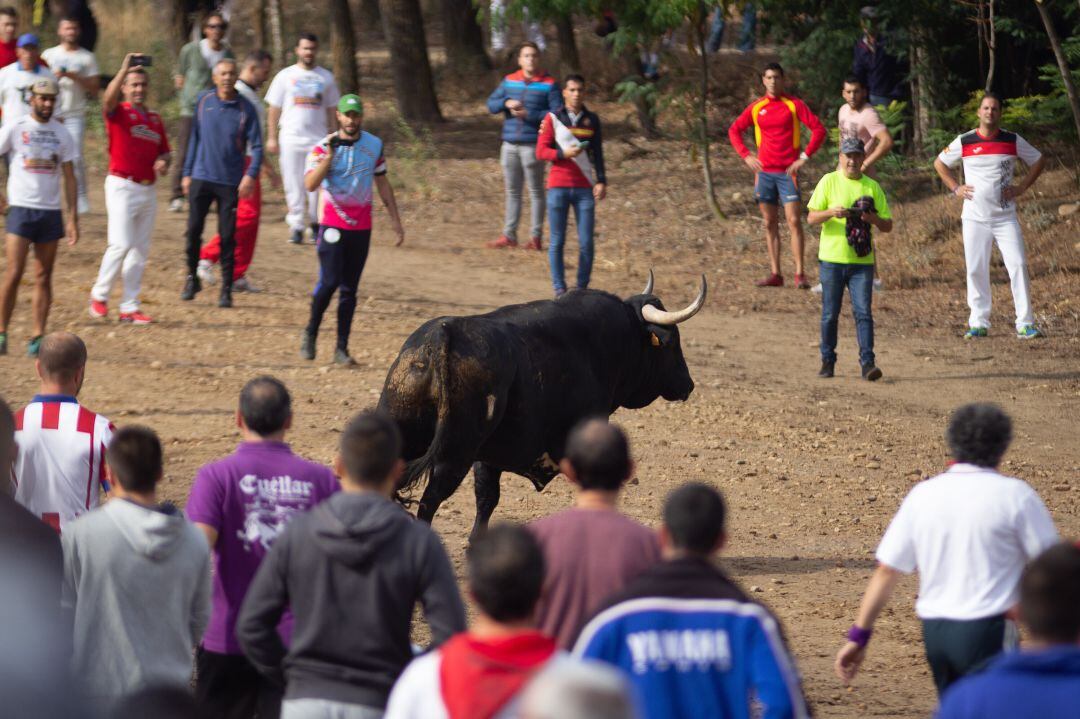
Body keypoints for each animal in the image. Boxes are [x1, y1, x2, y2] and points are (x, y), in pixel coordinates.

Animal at [375, 273, 704, 537]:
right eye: (672, 342)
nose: (688, 384)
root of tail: (442, 334)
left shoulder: (489, 457)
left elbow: (487, 498)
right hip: (454, 454)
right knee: (429, 501)